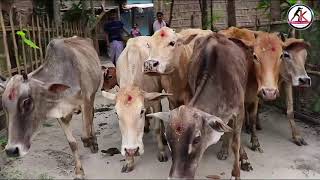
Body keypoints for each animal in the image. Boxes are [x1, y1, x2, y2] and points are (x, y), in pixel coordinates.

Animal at [0, 36, 101, 179]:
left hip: (93, 95)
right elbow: (72, 144)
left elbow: (85, 134)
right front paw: (79, 172)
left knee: (91, 117)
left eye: (27, 102)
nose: (11, 150)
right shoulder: (60, 114)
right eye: (4, 106)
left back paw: (94, 141)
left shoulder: (85, 101)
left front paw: (91, 142)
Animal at [101, 35, 171, 172]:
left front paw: (161, 151)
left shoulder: (155, 101)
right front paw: (129, 160)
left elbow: (157, 127)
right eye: (117, 114)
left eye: (140, 112)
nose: (132, 150)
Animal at [148, 33, 252, 179]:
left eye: (197, 139)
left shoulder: (239, 110)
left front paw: (236, 173)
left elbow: (236, 142)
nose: (176, 177)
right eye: (167, 139)